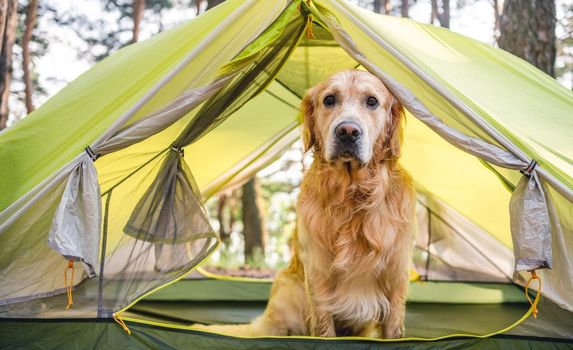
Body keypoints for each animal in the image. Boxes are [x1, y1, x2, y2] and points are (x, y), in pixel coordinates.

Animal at [194, 70, 414, 340]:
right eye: (329, 100)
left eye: (372, 101)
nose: (347, 131)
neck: (352, 196)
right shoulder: (318, 275)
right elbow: (323, 326)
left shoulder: (396, 274)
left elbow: (393, 328)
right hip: (286, 289)